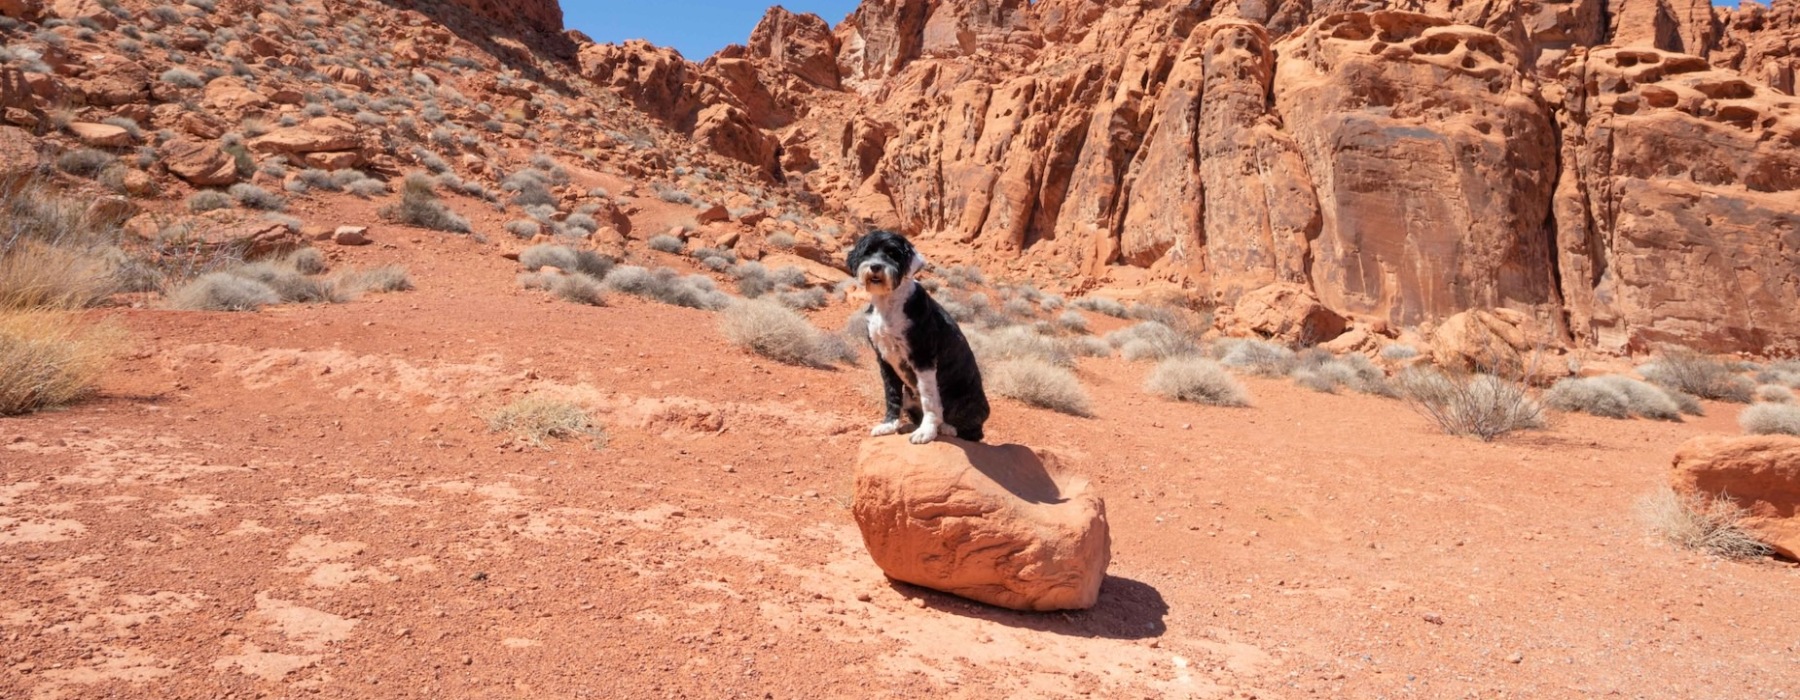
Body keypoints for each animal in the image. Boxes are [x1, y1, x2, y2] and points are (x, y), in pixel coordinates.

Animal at [846, 232, 993, 444]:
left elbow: (929, 398)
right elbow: (891, 394)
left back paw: (947, 428)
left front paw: (926, 432)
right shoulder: (884, 358)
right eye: (868, 251)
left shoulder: (923, 358)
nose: (875, 266)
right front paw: (888, 425)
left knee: (972, 433)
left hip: (967, 404)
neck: (890, 304)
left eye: (893, 254)